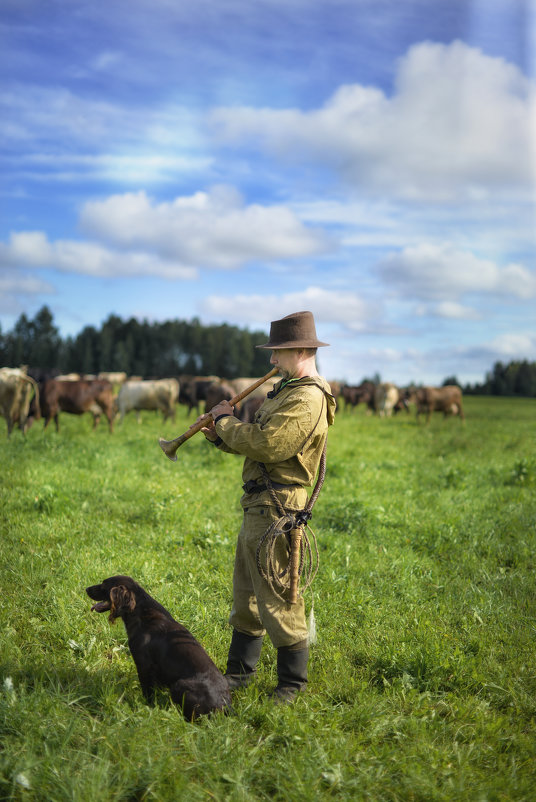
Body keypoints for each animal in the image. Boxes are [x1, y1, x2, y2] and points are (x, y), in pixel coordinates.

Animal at [86, 576, 232, 720]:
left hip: (179, 685)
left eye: (104, 584)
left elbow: (147, 691)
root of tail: (225, 707)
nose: (86, 589)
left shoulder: (143, 665)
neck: (141, 615)